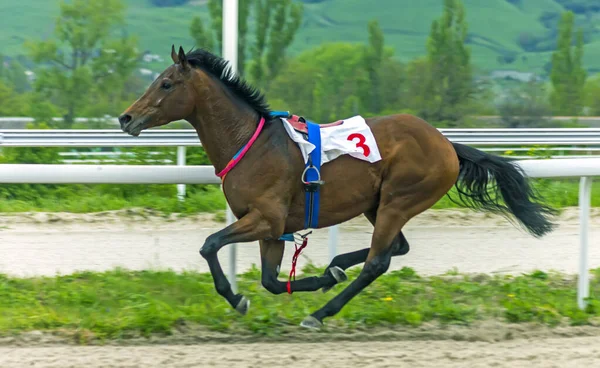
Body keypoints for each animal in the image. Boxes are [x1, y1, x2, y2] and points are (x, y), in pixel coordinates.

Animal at [117, 44, 556, 330]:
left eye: (167, 83)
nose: (126, 118)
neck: (251, 142)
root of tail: (447, 144)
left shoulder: (265, 217)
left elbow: (210, 245)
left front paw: (237, 298)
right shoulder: (273, 228)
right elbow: (270, 280)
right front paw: (316, 279)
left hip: (400, 199)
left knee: (380, 260)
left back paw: (321, 312)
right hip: (377, 204)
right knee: (396, 247)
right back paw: (335, 268)